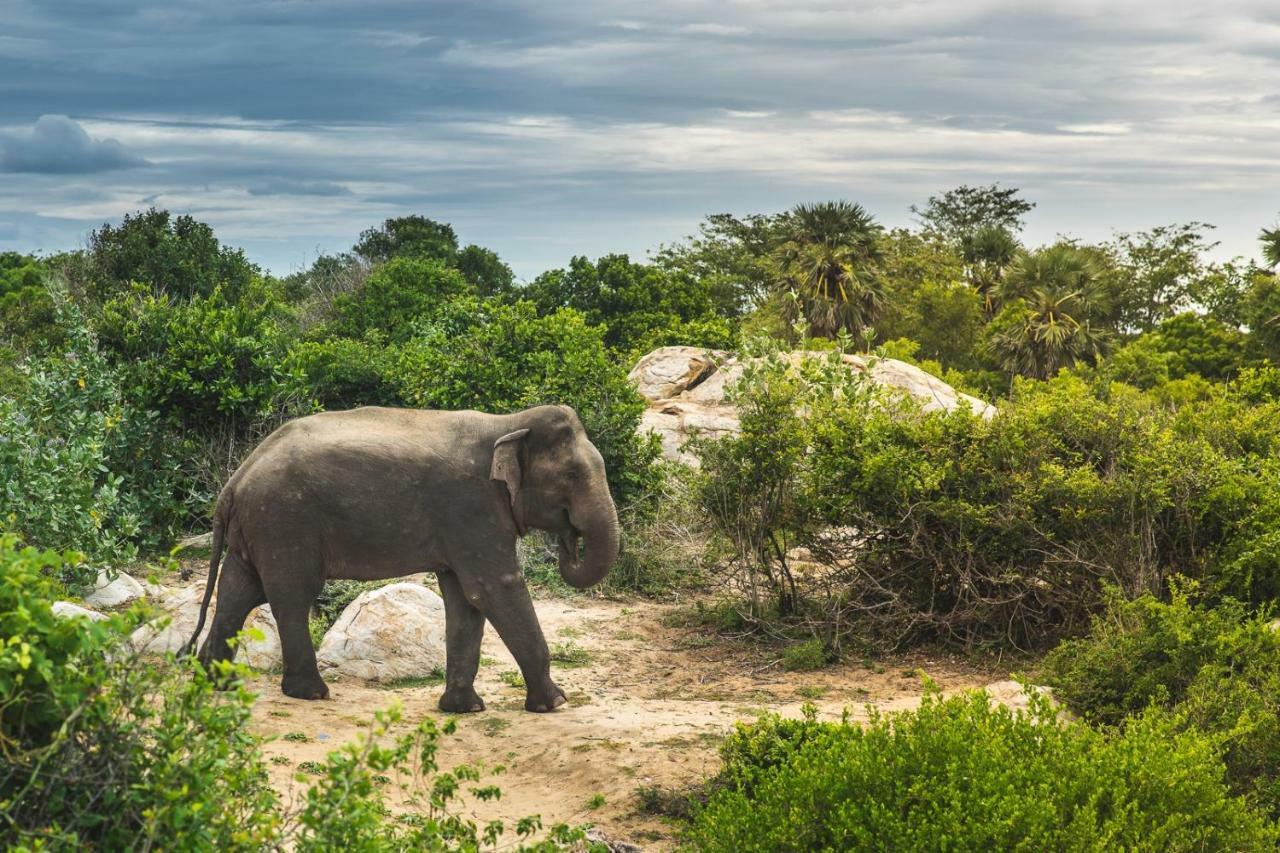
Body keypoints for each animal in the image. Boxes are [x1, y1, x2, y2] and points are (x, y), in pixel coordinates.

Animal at [181, 402, 619, 706]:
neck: (509, 422)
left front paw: (463, 708)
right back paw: (311, 693)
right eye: (572, 476)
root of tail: (235, 479)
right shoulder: (472, 510)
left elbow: (465, 599)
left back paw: (215, 680)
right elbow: (495, 588)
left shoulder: (463, 527)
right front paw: (555, 703)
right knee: (290, 595)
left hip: (260, 526)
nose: (569, 542)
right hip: (284, 522)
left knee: (240, 589)